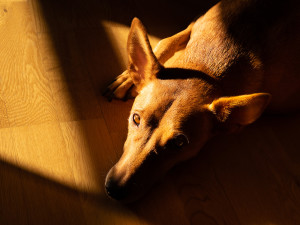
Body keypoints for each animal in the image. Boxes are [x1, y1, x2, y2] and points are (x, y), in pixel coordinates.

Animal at [103, 0, 300, 202]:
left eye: (179, 143)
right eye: (136, 118)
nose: (115, 190)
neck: (206, 66)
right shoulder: (195, 24)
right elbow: (166, 41)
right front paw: (127, 78)